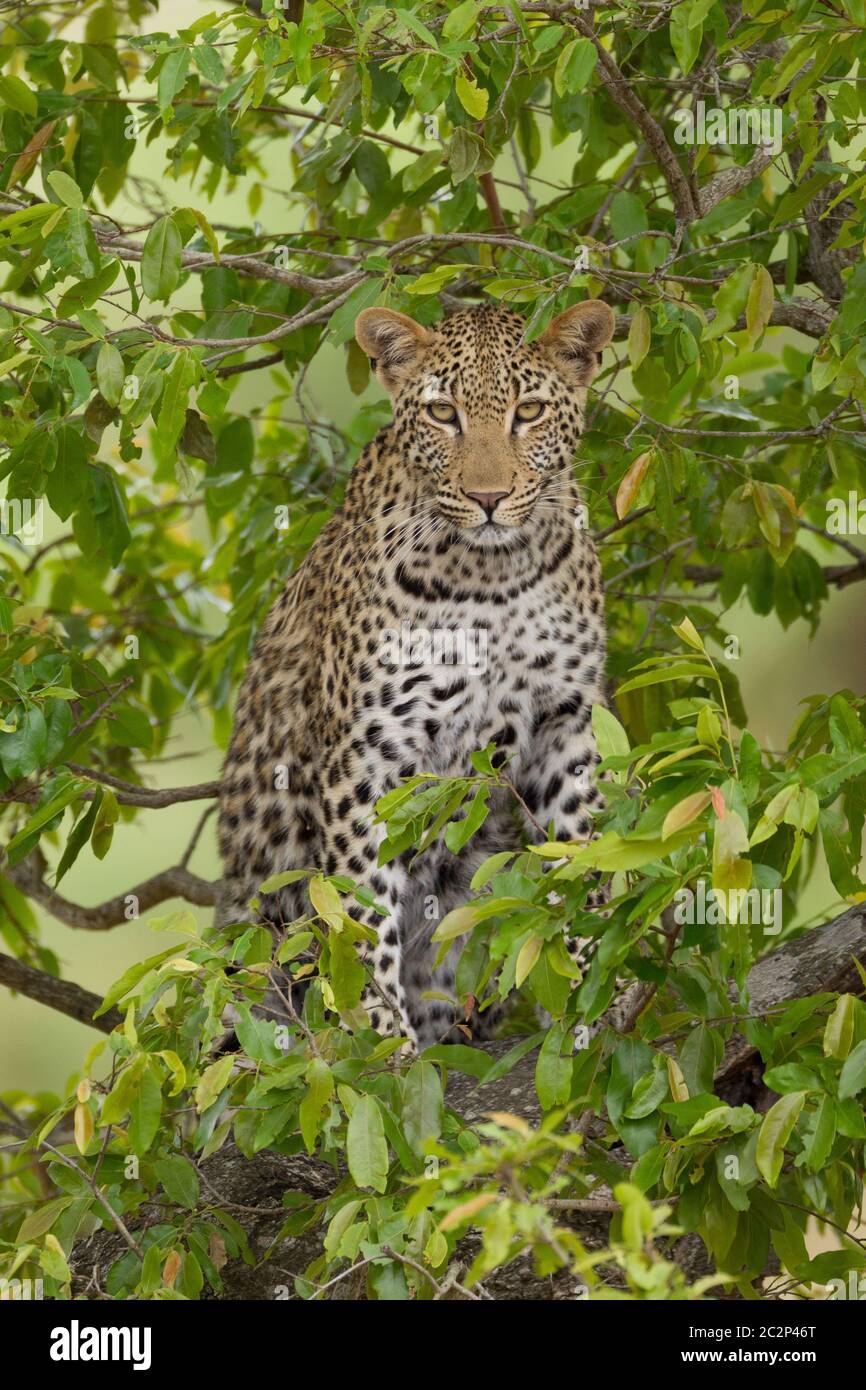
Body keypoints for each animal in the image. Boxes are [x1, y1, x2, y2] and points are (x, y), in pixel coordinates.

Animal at [219, 298, 619, 1045]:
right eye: (442, 413)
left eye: (528, 411)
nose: (488, 497)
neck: (495, 575)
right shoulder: (371, 755)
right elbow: (359, 905)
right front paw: (378, 1038)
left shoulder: (564, 724)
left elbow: (582, 858)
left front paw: (595, 994)